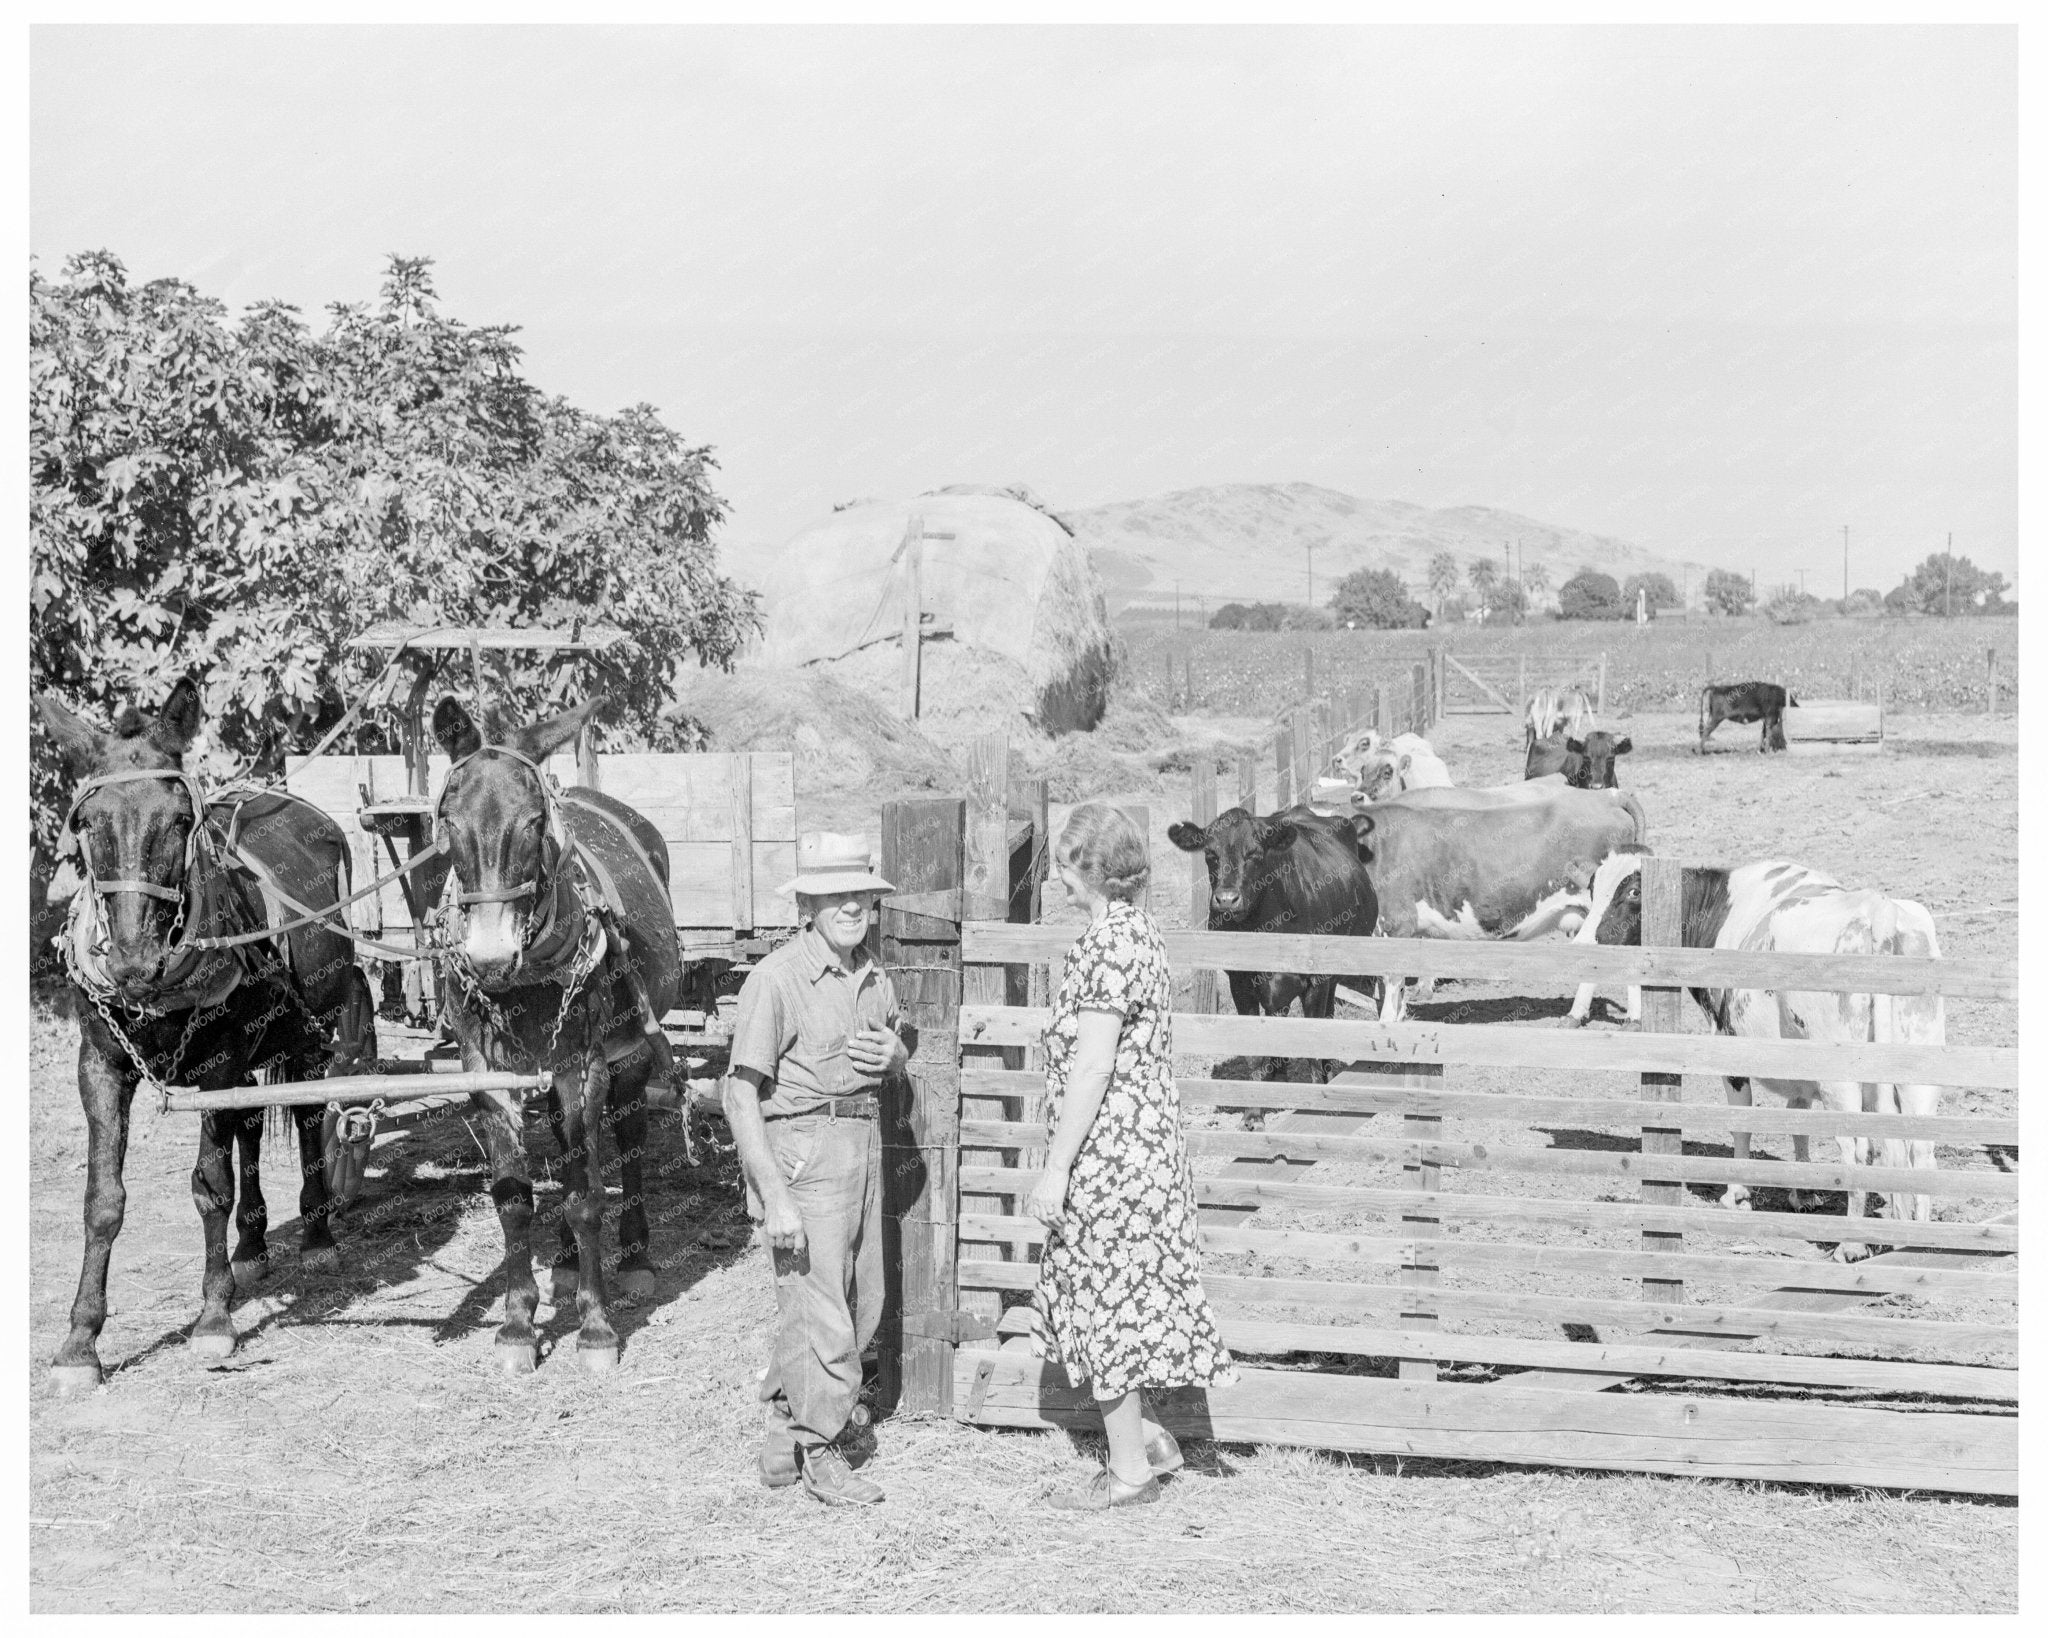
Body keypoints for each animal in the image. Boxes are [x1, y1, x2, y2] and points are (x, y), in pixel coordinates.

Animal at [35, 679, 380, 1392]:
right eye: (86, 824)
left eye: (177, 820)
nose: (134, 962)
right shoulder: (98, 1066)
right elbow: (102, 1199)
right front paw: (80, 1342)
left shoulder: (217, 1064)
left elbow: (209, 1185)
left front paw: (215, 1318)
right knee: (250, 1122)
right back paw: (252, 1243)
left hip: (315, 1026)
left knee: (310, 1112)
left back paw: (316, 1232)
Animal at [432, 696, 688, 1375]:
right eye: (447, 820)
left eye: (531, 823)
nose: (489, 955)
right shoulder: (486, 1071)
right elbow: (514, 1197)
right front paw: (518, 1325)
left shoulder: (585, 1065)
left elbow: (585, 1197)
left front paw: (596, 1329)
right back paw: (569, 1264)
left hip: (628, 1050)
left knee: (628, 1136)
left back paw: (635, 1257)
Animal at [1171, 798, 1376, 1081]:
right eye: (1210, 854)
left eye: (1254, 853)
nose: (1227, 900)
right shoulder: (1240, 982)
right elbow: (1257, 1053)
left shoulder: (1317, 981)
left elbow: (1315, 1048)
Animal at [1556, 851, 1941, 1261]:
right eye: (1593, 889)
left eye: (1632, 891)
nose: (1585, 945)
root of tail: (1877, 910)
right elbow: (1798, 1120)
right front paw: (1803, 1195)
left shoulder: (1729, 1044)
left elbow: (1741, 1122)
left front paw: (1737, 1195)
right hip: (1919, 1073)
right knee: (1922, 1149)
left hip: (1841, 1080)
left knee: (1856, 1150)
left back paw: (1850, 1244)